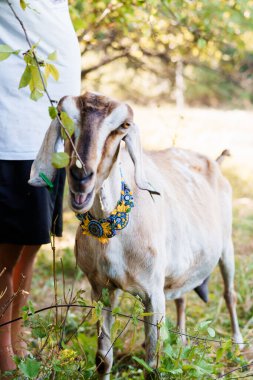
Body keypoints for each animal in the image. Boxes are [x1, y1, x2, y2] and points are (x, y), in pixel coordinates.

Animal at [29, 93, 243, 380]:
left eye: (123, 126)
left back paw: (237, 345)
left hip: (227, 247)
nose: (81, 176)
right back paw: (182, 341)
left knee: (230, 294)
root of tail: (215, 162)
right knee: (182, 296)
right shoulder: (101, 288)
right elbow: (103, 359)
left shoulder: (152, 292)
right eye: (63, 117)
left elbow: (152, 364)